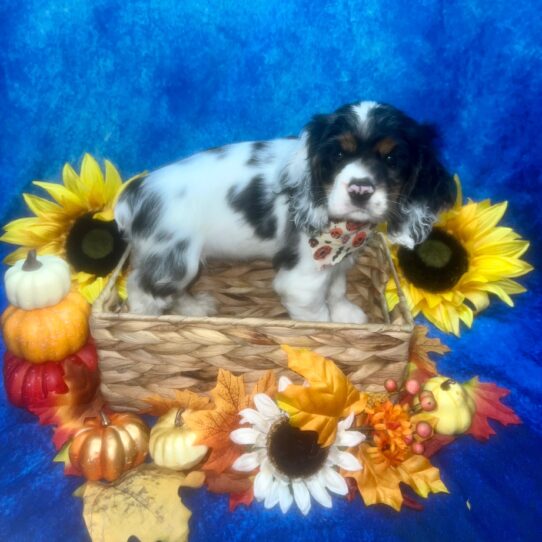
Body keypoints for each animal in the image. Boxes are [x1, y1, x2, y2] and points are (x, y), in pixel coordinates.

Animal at [117, 101, 456, 324]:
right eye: (337, 154)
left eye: (391, 158)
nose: (360, 189)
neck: (344, 230)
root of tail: (136, 191)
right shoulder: (301, 280)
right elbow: (318, 316)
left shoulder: (339, 261)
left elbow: (337, 287)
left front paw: (345, 313)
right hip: (174, 259)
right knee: (141, 288)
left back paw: (193, 309)